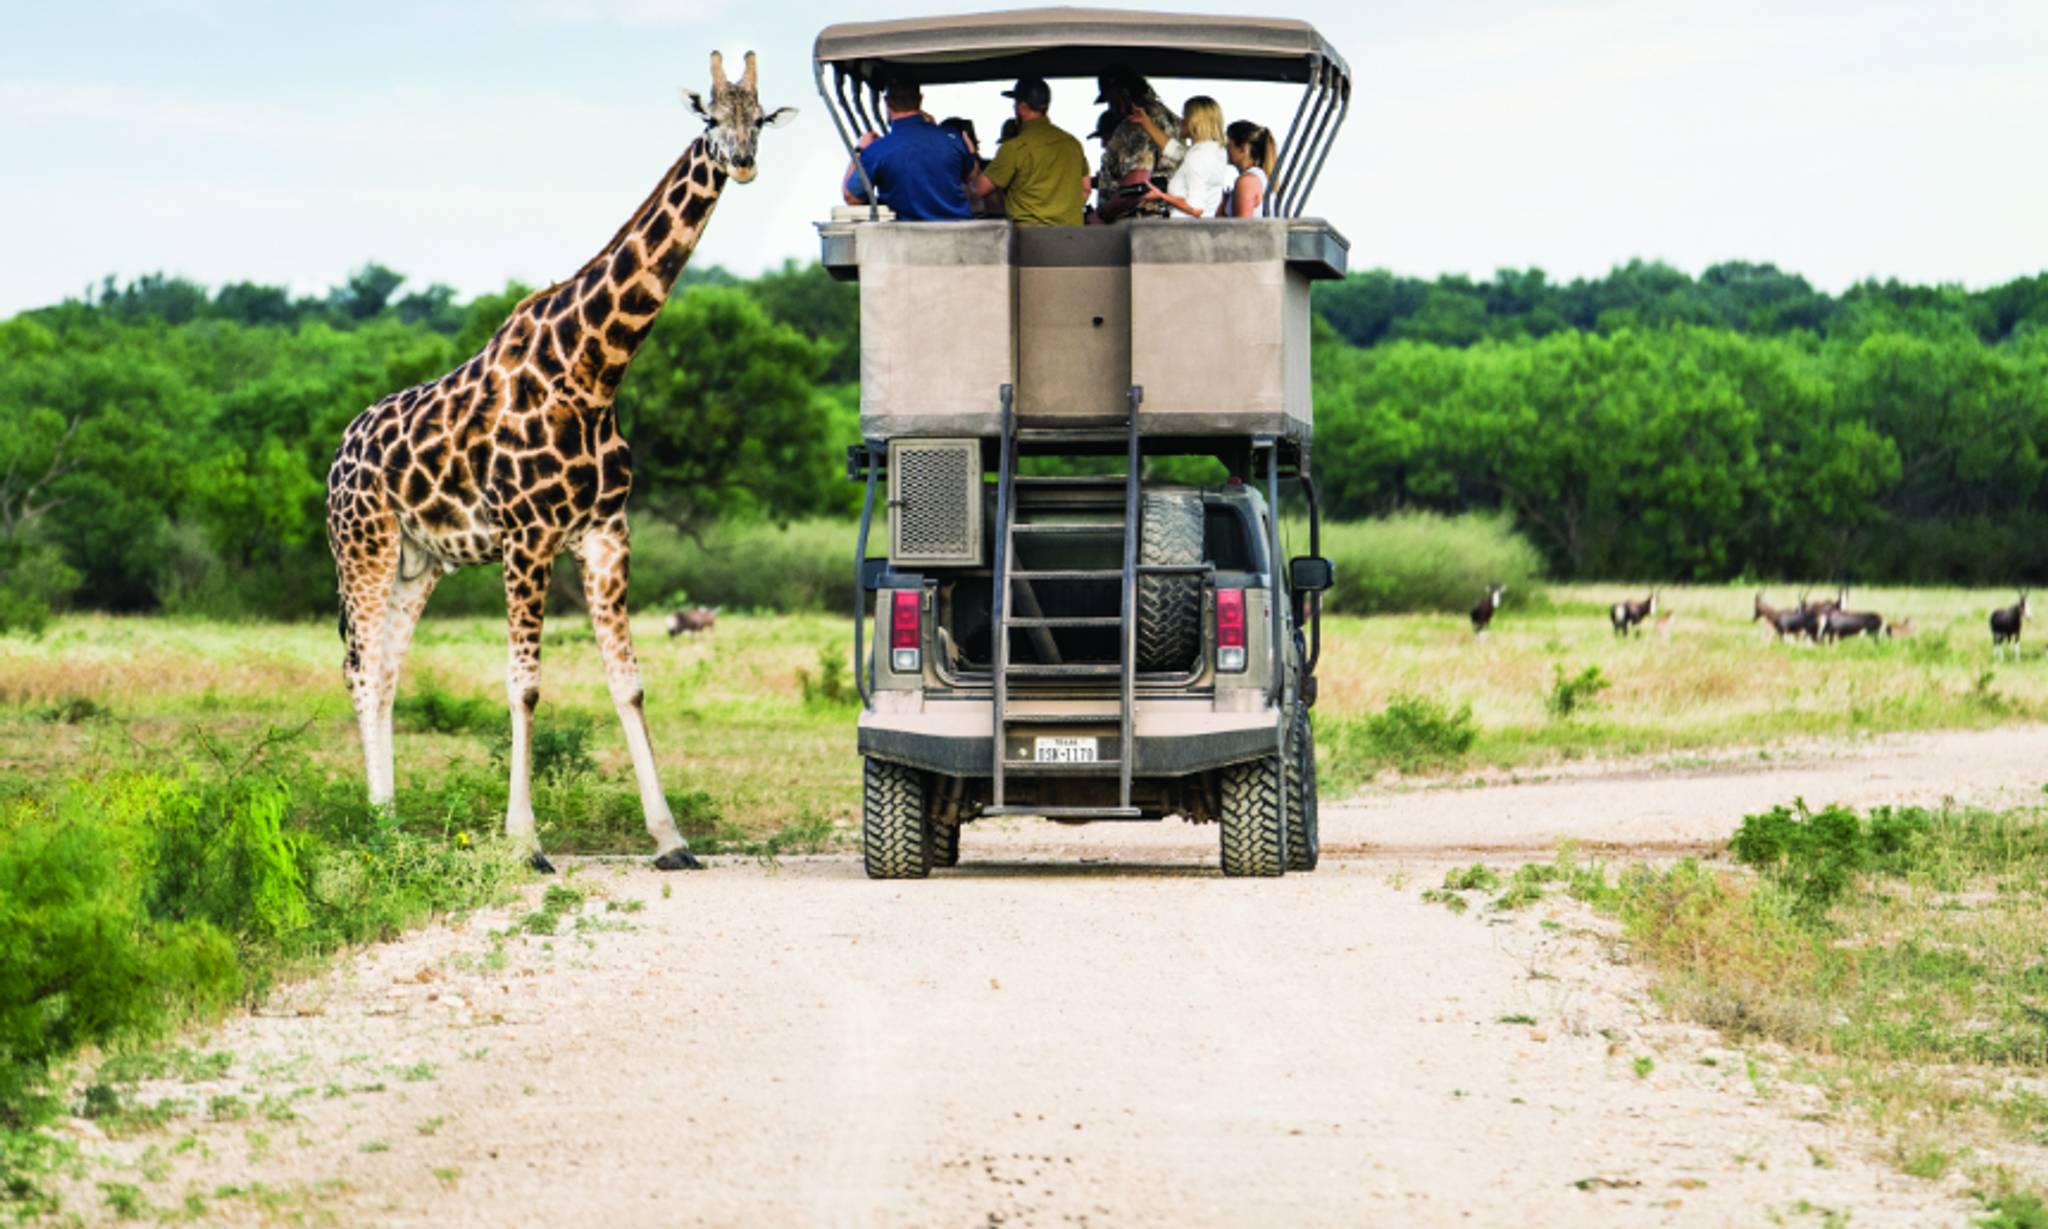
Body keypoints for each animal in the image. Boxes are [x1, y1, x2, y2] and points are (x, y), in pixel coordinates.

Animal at [324, 51, 795, 872]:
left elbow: (629, 683)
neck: (596, 369)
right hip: (364, 549)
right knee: (357, 668)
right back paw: (380, 827)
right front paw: (526, 842)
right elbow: (525, 685)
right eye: (710, 116)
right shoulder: (527, 537)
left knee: (382, 670)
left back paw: (393, 825)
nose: (741, 163)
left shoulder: (605, 532)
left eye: (761, 118)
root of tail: (336, 460)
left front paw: (671, 838)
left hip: (420, 564)